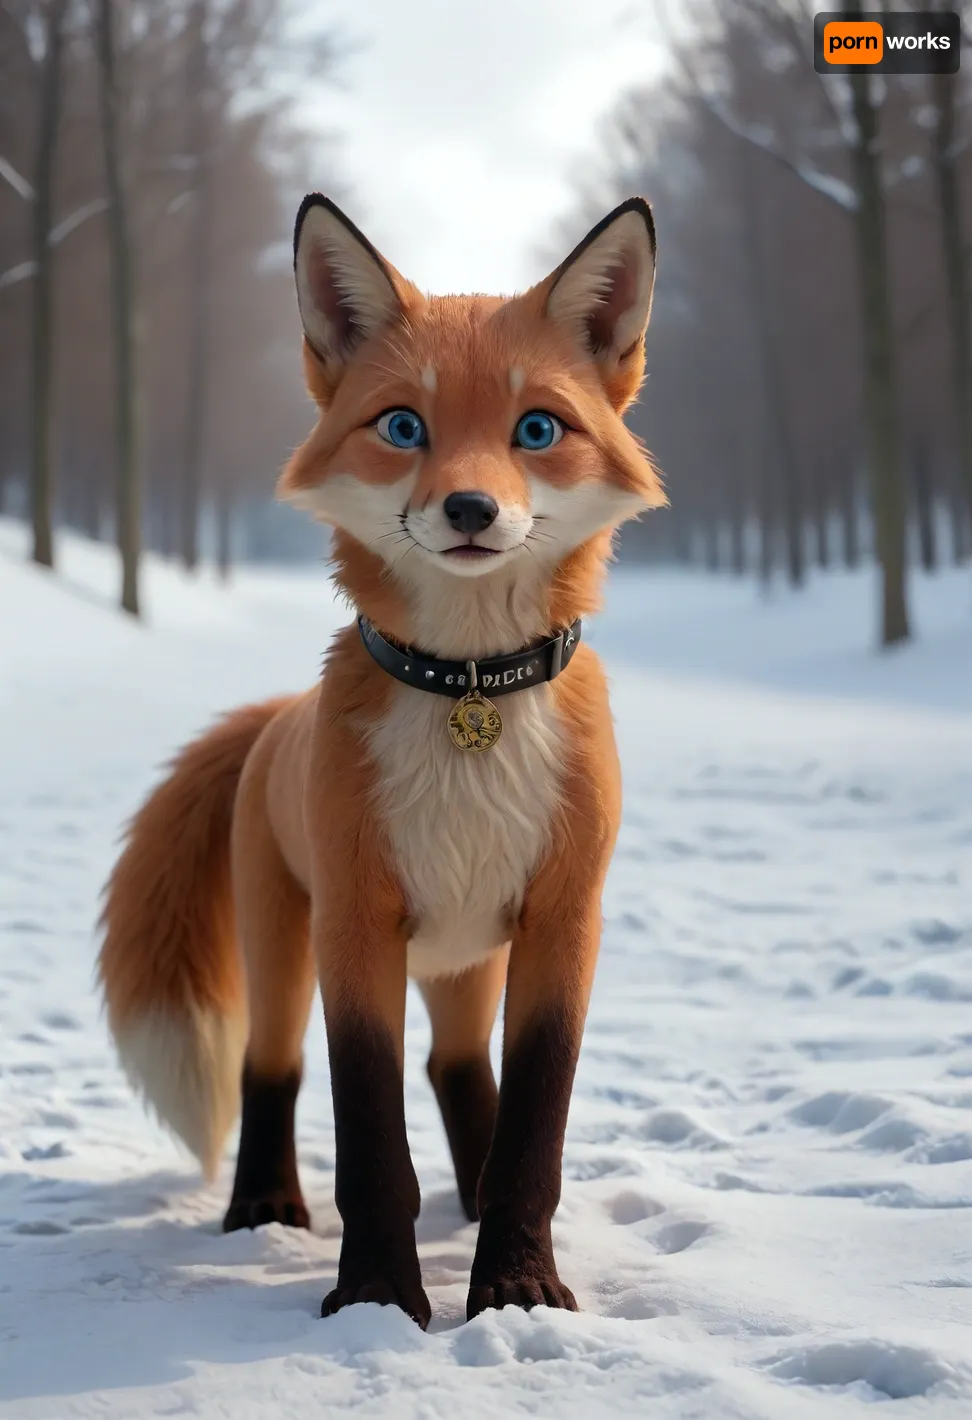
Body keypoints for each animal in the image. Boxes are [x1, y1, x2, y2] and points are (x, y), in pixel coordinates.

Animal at [98, 192, 665, 1328]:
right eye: (405, 426)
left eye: (537, 429)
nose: (471, 511)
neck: (468, 703)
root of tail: (277, 715)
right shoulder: (358, 926)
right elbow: (367, 1139)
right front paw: (374, 1298)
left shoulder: (563, 922)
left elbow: (532, 1129)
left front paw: (517, 1289)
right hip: (282, 948)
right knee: (271, 1073)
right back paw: (263, 1208)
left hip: (468, 961)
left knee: (458, 1071)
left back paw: (471, 1203)